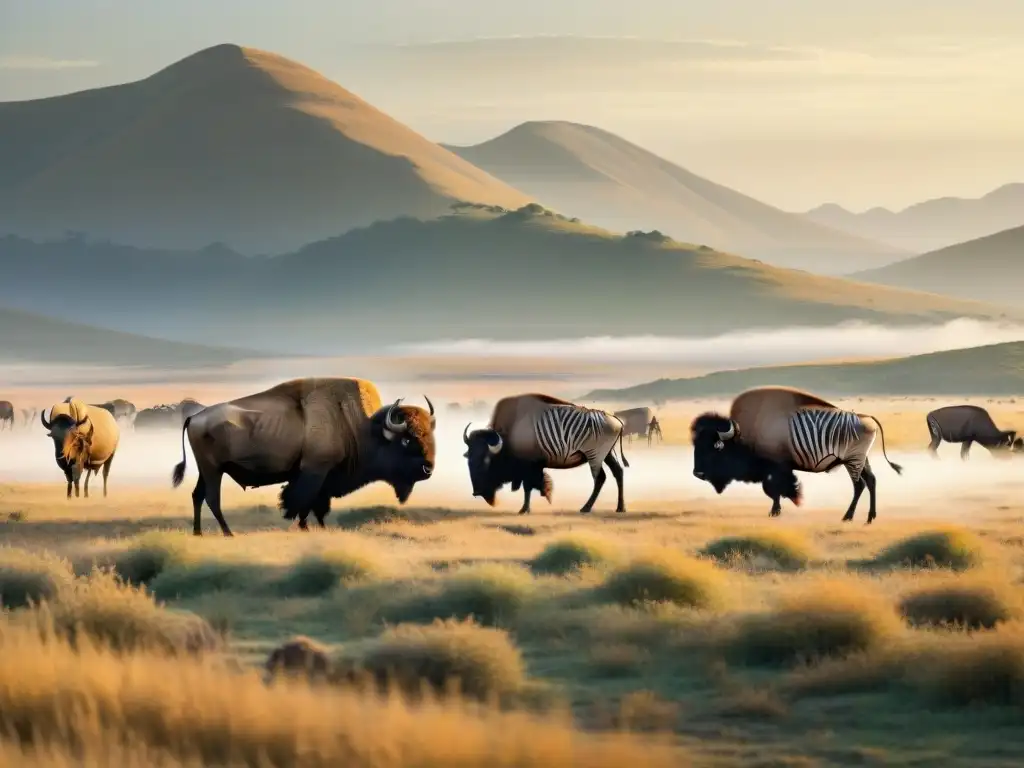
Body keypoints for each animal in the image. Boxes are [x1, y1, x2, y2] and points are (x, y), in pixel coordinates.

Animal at [172, 376, 436, 536]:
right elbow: (303, 501)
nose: (428, 469)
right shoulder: (315, 471)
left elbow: (317, 505)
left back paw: (198, 532)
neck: (360, 426)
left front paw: (318, 527)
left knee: (197, 495)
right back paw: (228, 533)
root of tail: (195, 417)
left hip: (206, 471)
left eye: (429, 435)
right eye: (406, 440)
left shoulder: (323, 478)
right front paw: (304, 526)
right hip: (213, 470)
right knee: (212, 499)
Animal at [464, 397, 630, 518]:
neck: (508, 437)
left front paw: (525, 509)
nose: (476, 492)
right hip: (608, 454)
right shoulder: (533, 468)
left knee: (600, 478)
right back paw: (620, 507)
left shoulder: (530, 468)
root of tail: (615, 419)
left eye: (486, 460)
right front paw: (545, 494)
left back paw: (586, 508)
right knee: (618, 472)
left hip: (594, 456)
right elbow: (535, 485)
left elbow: (528, 487)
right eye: (469, 459)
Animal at [692, 387, 901, 528]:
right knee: (871, 481)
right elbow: (774, 489)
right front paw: (782, 507)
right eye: (696, 444)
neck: (742, 434)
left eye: (715, 447)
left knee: (859, 485)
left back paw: (847, 517)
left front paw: (782, 507)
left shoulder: (777, 468)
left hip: (852, 461)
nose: (697, 473)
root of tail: (867, 418)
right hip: (862, 460)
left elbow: (774, 489)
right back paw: (870, 518)